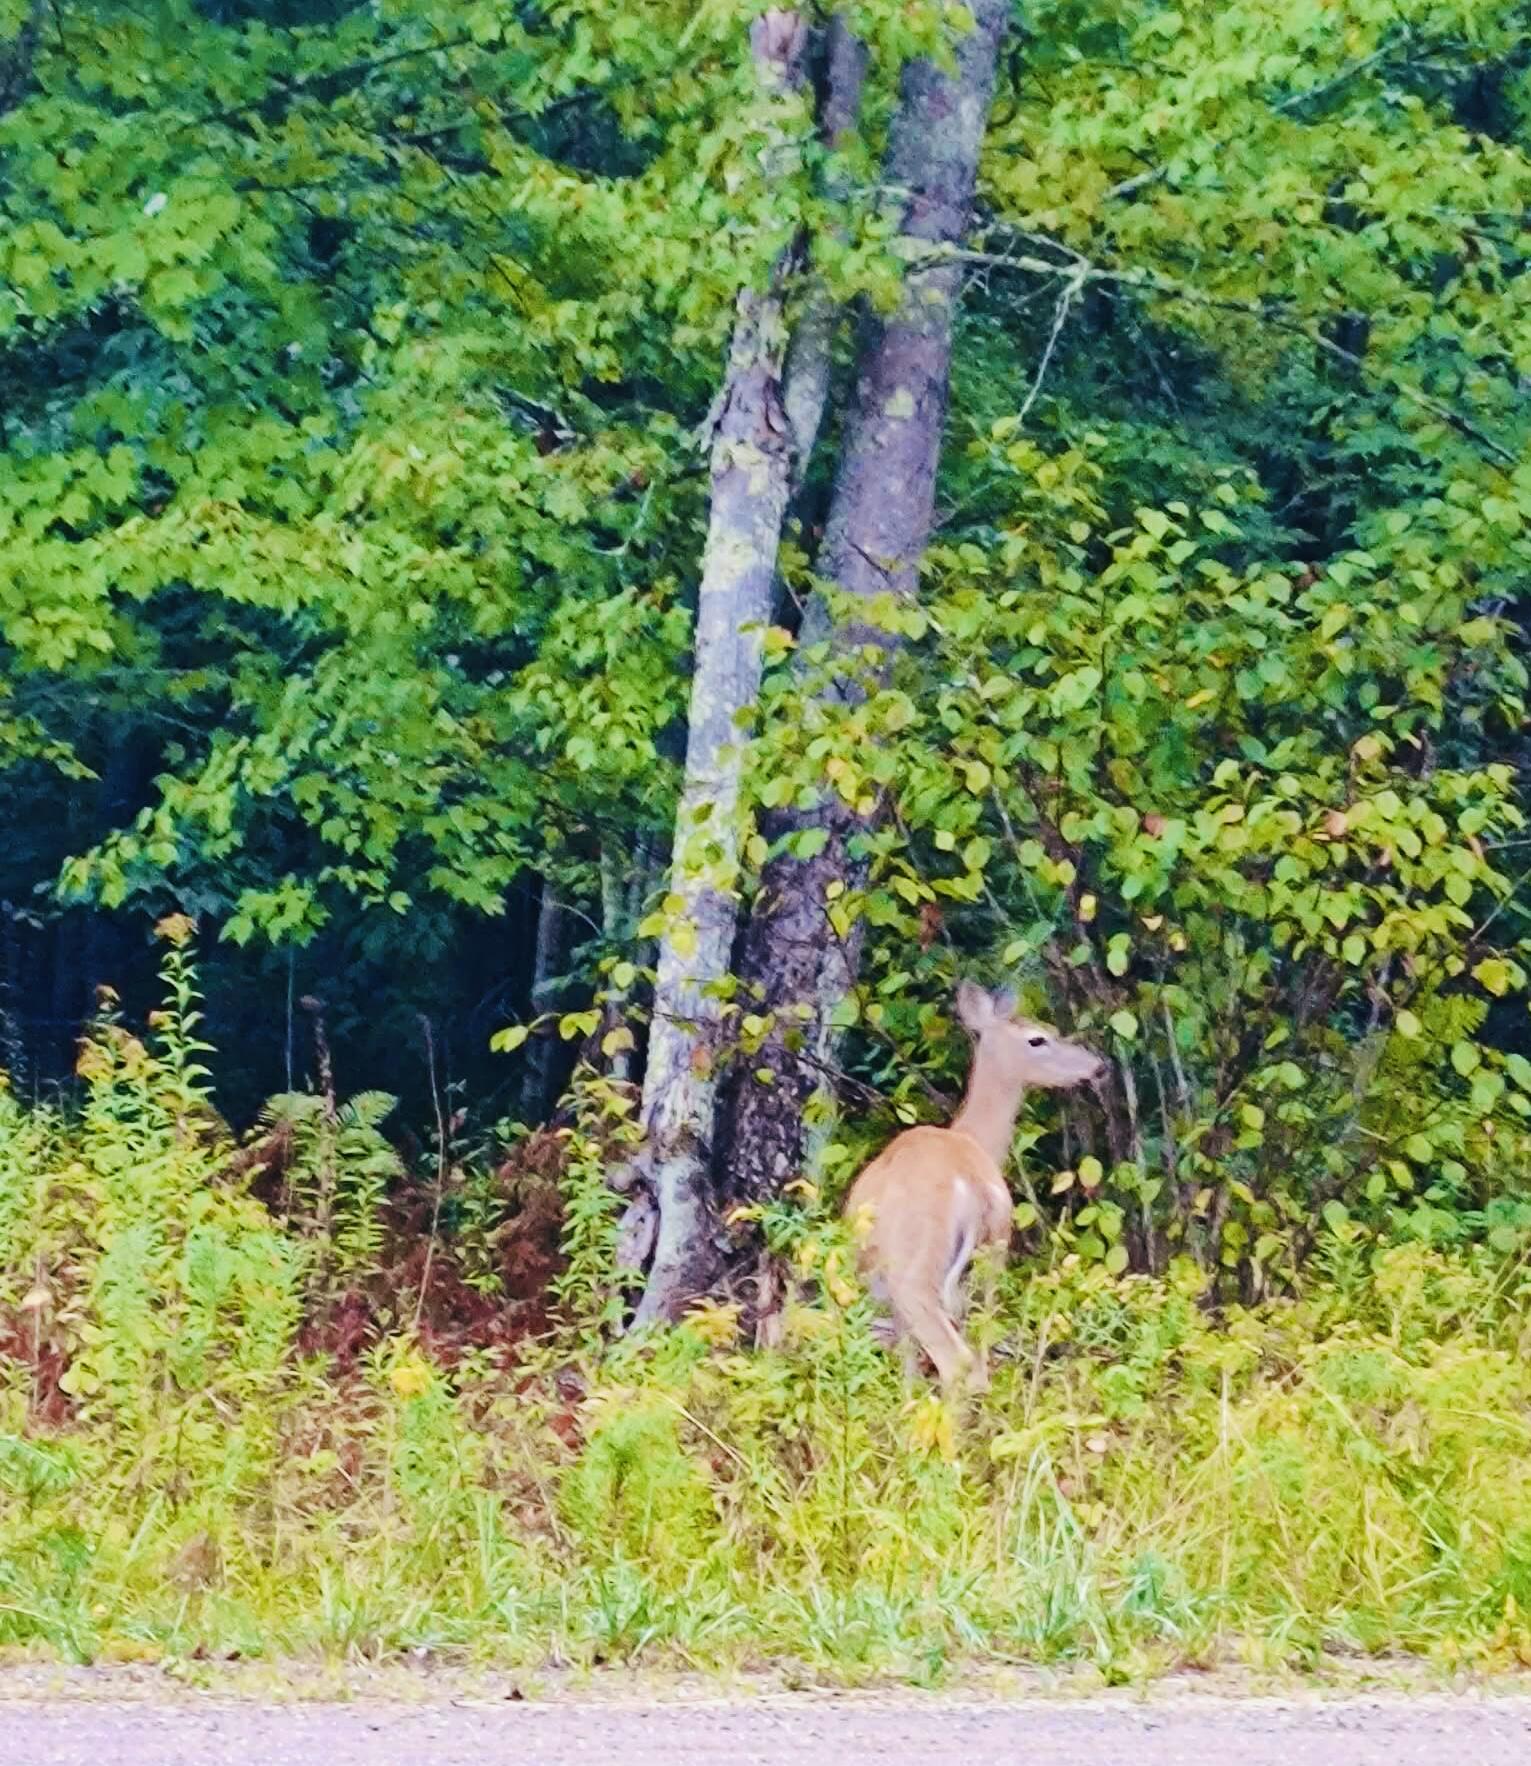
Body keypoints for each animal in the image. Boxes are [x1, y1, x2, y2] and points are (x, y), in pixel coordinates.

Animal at [843, 981, 1105, 1394]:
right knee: (980, 1359)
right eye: (1038, 1038)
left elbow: (907, 1364)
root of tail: (973, 1187)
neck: (971, 1137)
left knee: (956, 1363)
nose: (1097, 1065)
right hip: (990, 1261)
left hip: (915, 1271)